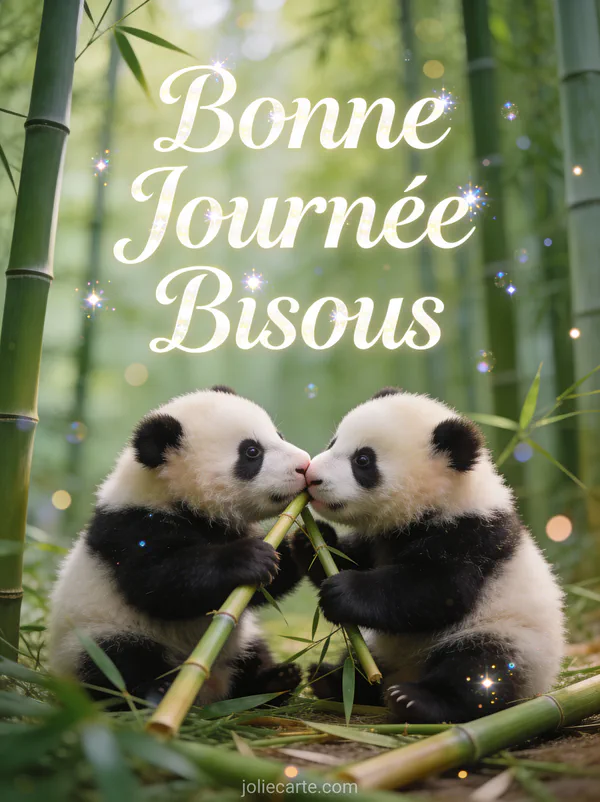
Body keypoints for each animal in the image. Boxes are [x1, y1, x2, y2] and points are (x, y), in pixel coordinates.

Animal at [49, 386, 311, 707]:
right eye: (252, 452)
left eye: (279, 435)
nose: (304, 465)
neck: (172, 496)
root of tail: (209, 689)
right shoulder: (133, 529)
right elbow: (161, 585)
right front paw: (248, 557)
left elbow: (259, 591)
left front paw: (306, 543)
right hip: (96, 635)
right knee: (118, 666)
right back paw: (155, 693)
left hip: (240, 640)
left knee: (251, 656)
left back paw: (274, 681)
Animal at [292, 388, 565, 724]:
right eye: (333, 443)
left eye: (363, 460)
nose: (312, 476)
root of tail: (403, 672)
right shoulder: (381, 539)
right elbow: (351, 557)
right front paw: (310, 540)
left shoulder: (469, 537)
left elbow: (437, 591)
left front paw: (342, 592)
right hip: (379, 646)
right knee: (357, 662)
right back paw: (331, 679)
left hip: (510, 637)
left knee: (479, 668)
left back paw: (414, 700)